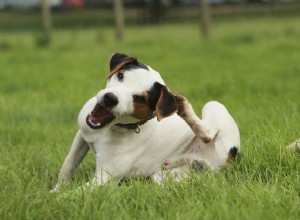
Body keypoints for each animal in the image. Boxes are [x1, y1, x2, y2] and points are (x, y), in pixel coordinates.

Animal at [50, 52, 240, 192]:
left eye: (140, 98)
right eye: (120, 75)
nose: (110, 98)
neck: (109, 129)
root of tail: (231, 160)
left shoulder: (104, 179)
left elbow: (73, 194)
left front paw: (54, 199)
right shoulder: (82, 135)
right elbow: (67, 165)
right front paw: (56, 189)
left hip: (214, 106)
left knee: (207, 133)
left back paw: (184, 107)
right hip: (167, 176)